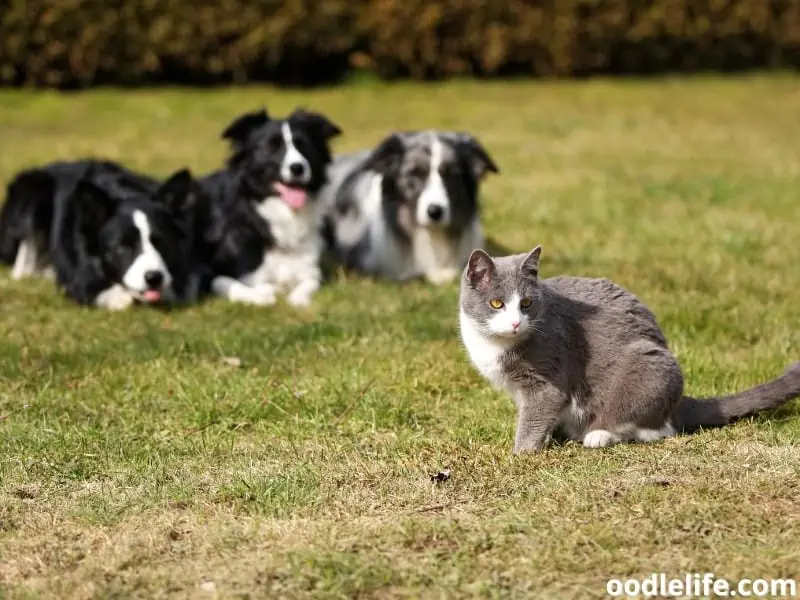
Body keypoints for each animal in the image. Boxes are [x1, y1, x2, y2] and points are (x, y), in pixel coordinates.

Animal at [198, 105, 344, 308]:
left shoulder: (310, 268)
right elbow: (230, 283)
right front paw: (261, 294)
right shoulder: (211, 272)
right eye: (271, 146)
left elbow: (310, 281)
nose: (298, 168)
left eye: (303, 145)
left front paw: (297, 299)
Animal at [456, 244, 800, 450]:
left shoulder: (547, 377)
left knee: (657, 428)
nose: (516, 323)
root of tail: (679, 401)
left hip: (648, 365)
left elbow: (538, 412)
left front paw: (522, 453)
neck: (495, 345)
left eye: (526, 303)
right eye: (496, 303)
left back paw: (598, 435)